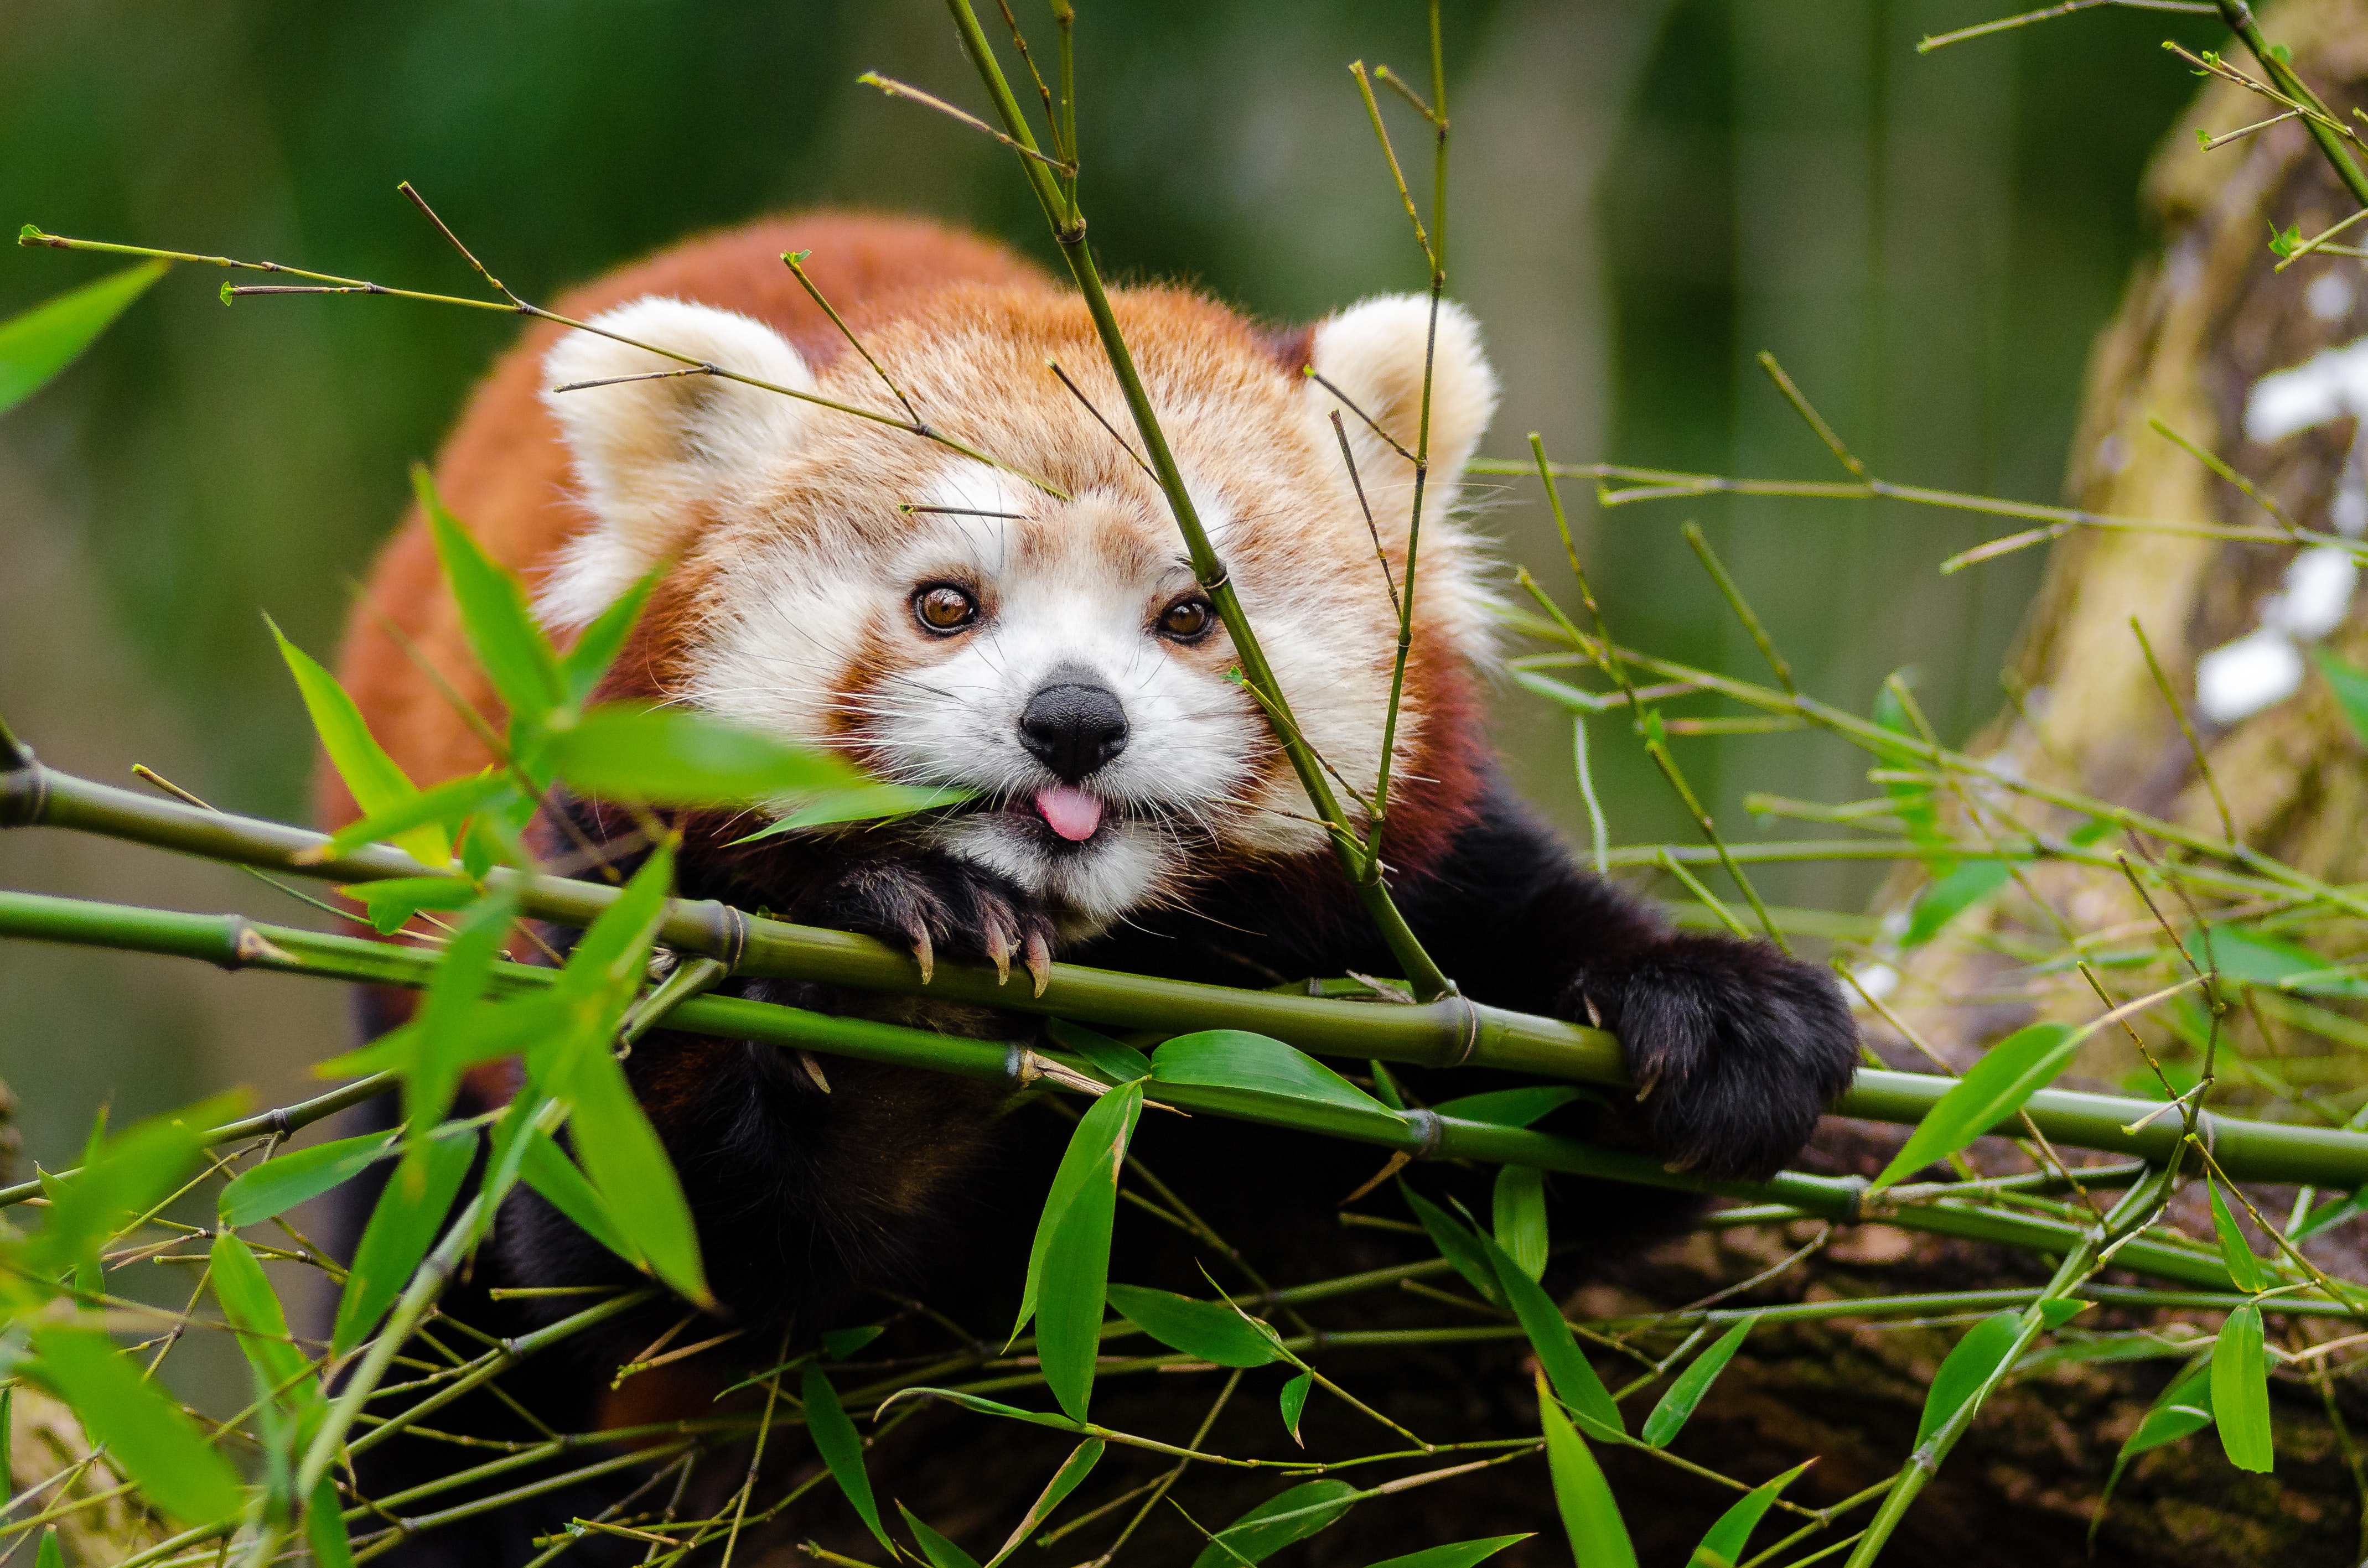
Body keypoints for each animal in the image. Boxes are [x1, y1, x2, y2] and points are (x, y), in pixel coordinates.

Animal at [325, 210, 1858, 1567]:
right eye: (946, 603)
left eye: (1190, 615)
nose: (1074, 720)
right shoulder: (614, 896)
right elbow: (627, 1240)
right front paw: (904, 1005)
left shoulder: (1410, 902)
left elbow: (1519, 1132)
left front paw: (1720, 1014)